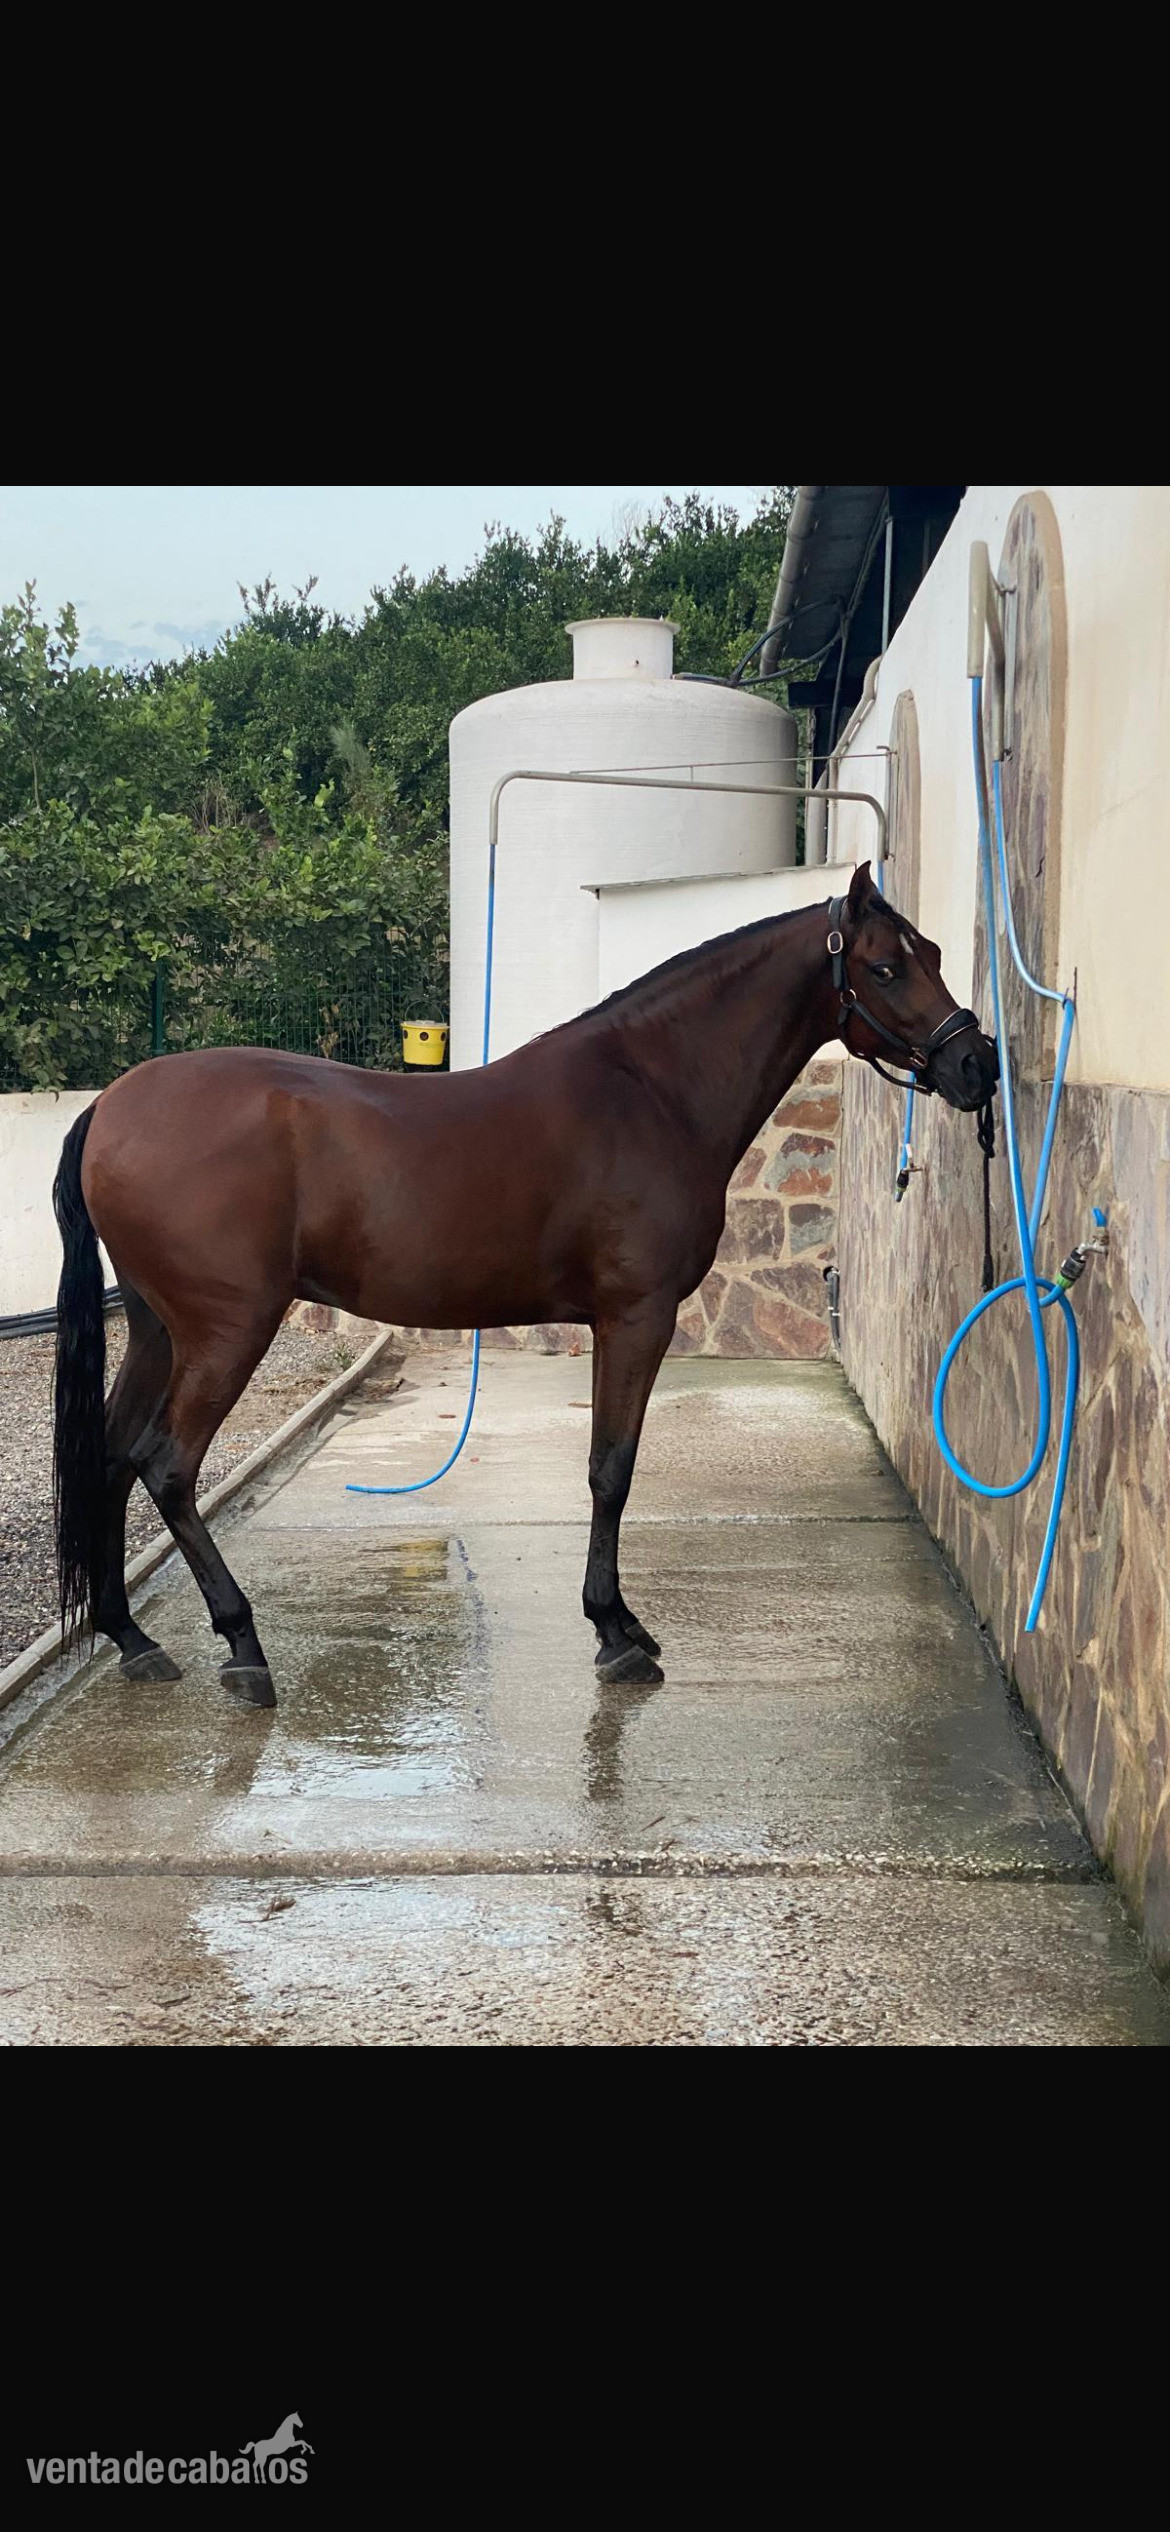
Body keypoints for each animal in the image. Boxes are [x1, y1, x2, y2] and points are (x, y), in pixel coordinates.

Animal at [51, 861, 998, 1709]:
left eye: (932, 950)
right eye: (885, 967)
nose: (976, 1068)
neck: (652, 1090)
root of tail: (111, 1106)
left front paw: (620, 1623)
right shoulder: (636, 1317)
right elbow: (612, 1469)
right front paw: (615, 1633)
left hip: (159, 1331)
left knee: (111, 1457)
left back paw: (133, 1639)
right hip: (227, 1332)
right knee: (167, 1467)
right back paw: (243, 1648)